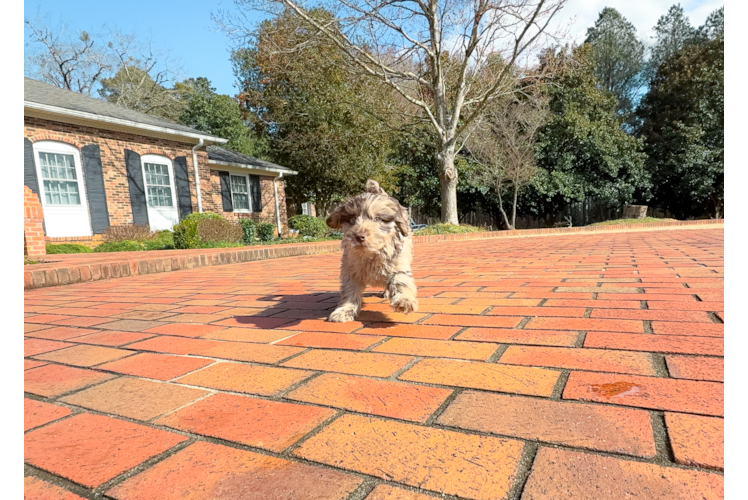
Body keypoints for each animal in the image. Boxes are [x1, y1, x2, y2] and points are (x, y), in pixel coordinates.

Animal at [326, 180, 418, 324]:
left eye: (377, 219)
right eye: (352, 220)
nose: (359, 236)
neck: (371, 254)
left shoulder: (398, 264)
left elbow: (400, 281)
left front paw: (405, 301)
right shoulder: (350, 271)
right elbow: (350, 292)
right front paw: (344, 310)